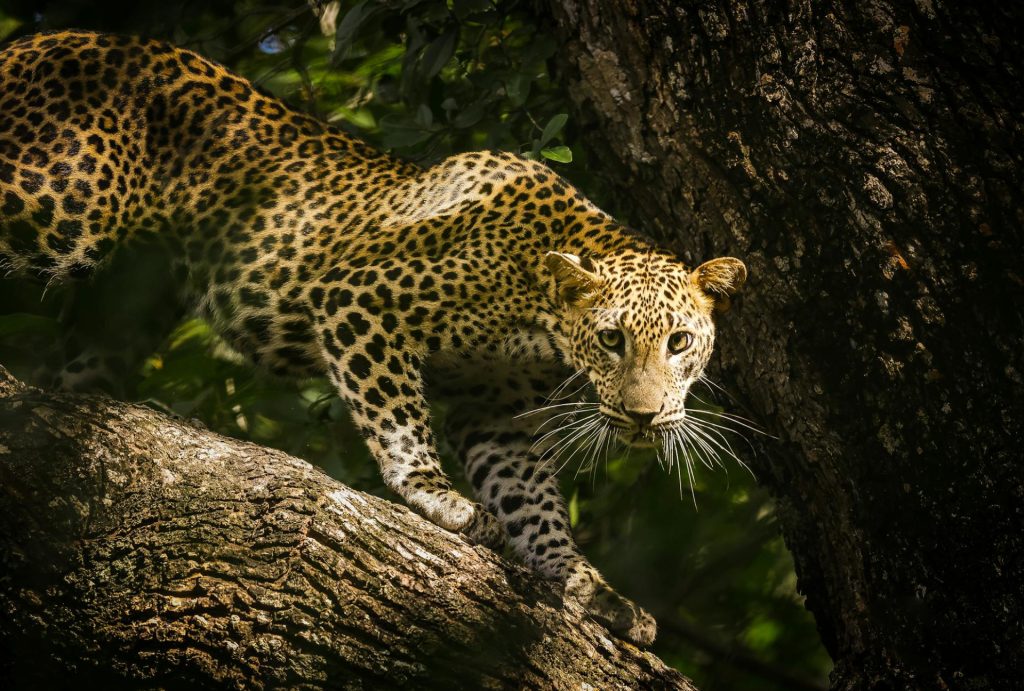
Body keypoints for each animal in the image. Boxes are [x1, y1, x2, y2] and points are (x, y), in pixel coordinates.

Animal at [0, 29, 747, 646]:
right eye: (613, 340)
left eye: (680, 342)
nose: (645, 416)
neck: (542, 317)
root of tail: (37, 42)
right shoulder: (359, 300)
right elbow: (399, 418)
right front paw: (436, 495)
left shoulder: (494, 409)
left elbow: (532, 499)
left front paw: (586, 586)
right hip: (54, 203)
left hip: (127, 301)